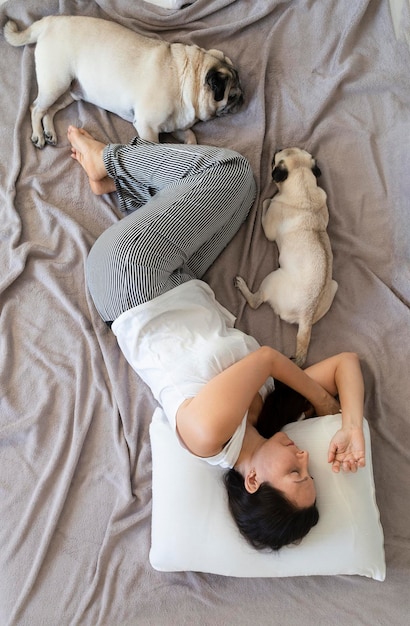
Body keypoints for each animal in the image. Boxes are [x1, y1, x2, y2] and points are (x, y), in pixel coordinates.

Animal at [4, 15, 243, 147]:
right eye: (231, 96)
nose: (243, 97)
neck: (187, 75)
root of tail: (50, 21)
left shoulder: (175, 125)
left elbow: (191, 134)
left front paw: (191, 145)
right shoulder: (147, 126)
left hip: (69, 92)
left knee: (49, 111)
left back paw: (49, 132)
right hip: (56, 83)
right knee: (36, 107)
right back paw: (38, 136)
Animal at [235, 147, 338, 366]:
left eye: (275, 159)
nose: (277, 147)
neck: (304, 188)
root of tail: (306, 316)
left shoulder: (269, 225)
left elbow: (267, 203)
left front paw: (267, 197)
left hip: (272, 278)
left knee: (256, 302)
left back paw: (244, 287)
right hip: (334, 286)